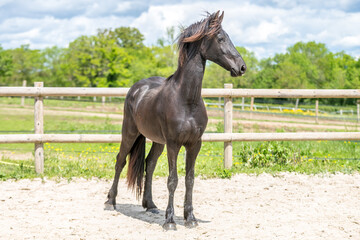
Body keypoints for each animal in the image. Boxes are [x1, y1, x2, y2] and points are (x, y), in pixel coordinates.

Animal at [104, 11, 245, 231]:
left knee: (150, 163)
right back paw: (111, 202)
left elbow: (189, 179)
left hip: (157, 141)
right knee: (120, 161)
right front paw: (170, 221)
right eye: (221, 38)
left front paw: (190, 218)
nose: (242, 67)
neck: (186, 100)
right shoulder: (174, 144)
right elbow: (173, 180)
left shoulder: (194, 144)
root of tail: (136, 88)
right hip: (130, 132)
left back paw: (151, 205)